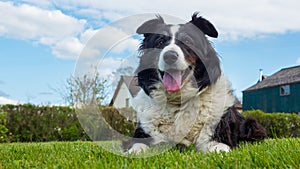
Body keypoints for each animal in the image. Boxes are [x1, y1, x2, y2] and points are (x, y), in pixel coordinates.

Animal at [123, 13, 266, 153]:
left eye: (187, 41)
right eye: (160, 42)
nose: (170, 56)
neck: (178, 102)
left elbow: (218, 147)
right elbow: (137, 145)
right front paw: (135, 151)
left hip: (250, 123)